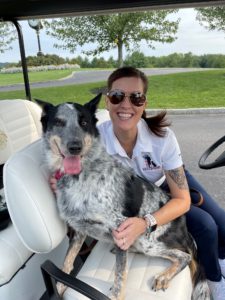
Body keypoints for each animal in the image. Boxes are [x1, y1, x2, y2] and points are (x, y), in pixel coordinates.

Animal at [36, 94, 210, 300]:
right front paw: (60, 287)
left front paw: (116, 295)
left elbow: (120, 275)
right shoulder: (79, 229)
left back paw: (163, 275)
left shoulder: (120, 228)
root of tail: (184, 225)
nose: (75, 147)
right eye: (58, 122)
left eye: (84, 122)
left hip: (148, 241)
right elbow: (67, 262)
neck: (81, 176)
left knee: (185, 256)